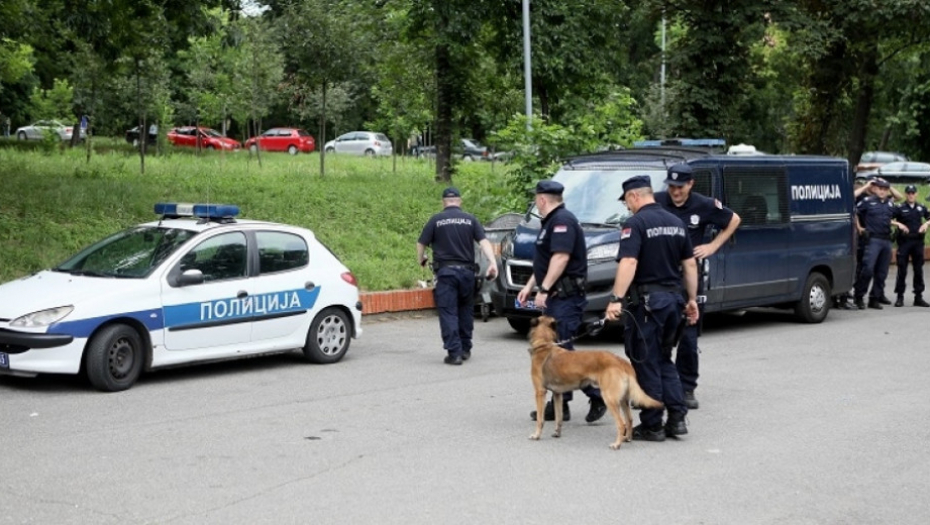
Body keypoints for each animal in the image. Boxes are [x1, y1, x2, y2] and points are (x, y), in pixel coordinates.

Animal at [524, 314, 664, 448]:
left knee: (621, 423)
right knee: (629, 420)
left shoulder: (540, 392)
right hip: (623, 400)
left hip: (609, 398)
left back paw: (617, 444)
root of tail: (621, 361)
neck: (544, 344)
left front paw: (536, 435)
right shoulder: (558, 394)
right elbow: (559, 417)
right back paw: (627, 439)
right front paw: (557, 432)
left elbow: (540, 419)